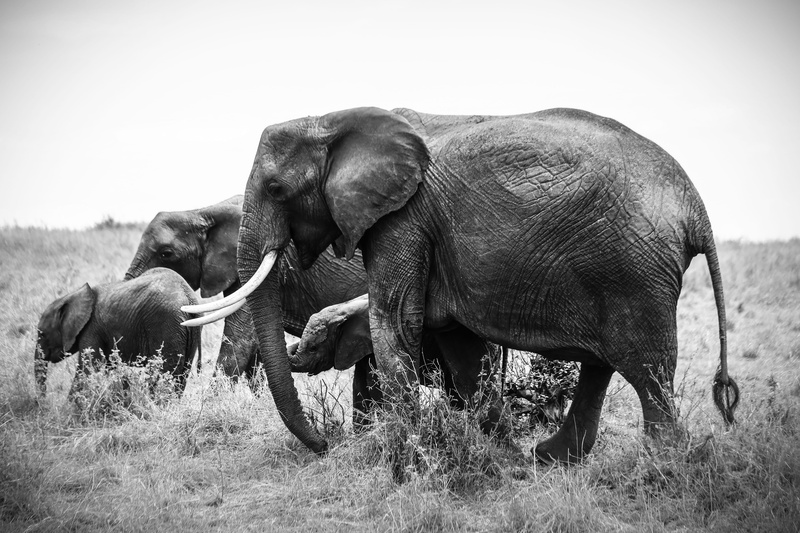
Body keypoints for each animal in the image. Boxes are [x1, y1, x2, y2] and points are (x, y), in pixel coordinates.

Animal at [35, 268, 202, 396]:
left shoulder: (91, 329)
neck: (72, 296)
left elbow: (88, 370)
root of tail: (188, 296)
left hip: (166, 323)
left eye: (42, 334)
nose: (43, 402)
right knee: (181, 376)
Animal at [187, 106, 739, 462]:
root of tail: (697, 210)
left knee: (645, 365)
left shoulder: (403, 219)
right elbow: (457, 343)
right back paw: (550, 458)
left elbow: (395, 322)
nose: (326, 447)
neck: (334, 119)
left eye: (277, 188)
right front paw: (494, 449)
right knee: (603, 363)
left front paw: (406, 452)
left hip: (632, 269)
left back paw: (659, 467)